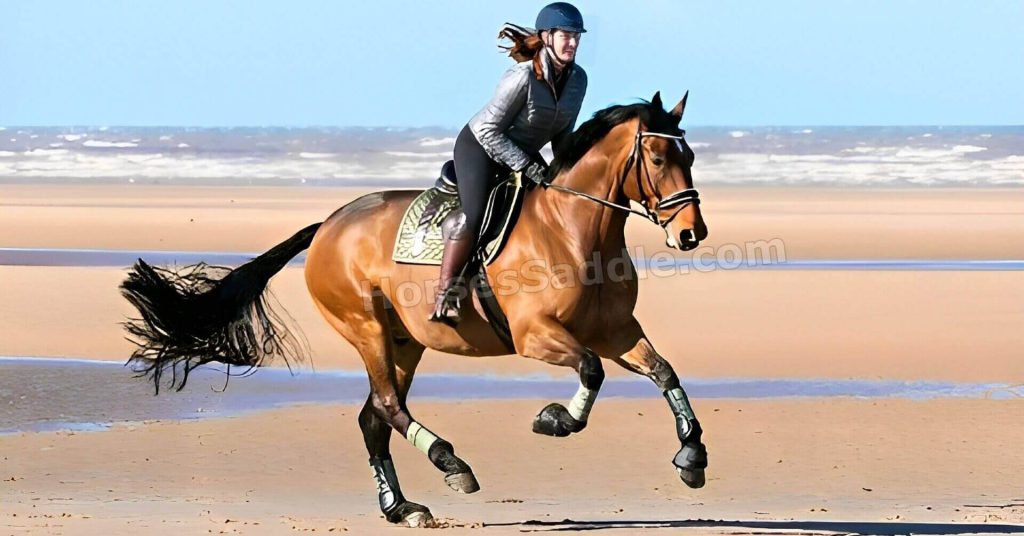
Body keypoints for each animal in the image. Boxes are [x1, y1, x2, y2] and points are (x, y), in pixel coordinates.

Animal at [120, 91, 709, 527]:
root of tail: (329, 224)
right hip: (367, 329)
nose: (691, 233)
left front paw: (692, 456)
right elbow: (590, 370)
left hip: (405, 342)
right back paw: (452, 463)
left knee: (374, 417)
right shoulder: (535, 334)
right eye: (659, 159)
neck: (571, 230)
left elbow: (664, 371)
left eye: (691, 157)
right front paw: (554, 420)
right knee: (386, 407)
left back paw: (401, 507)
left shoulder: (617, 331)